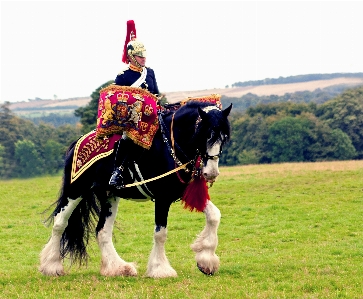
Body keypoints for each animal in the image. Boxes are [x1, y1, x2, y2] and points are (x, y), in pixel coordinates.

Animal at [39, 100, 232, 278]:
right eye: (205, 135)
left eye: (224, 137)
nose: (211, 173)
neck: (170, 146)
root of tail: (76, 143)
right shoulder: (162, 198)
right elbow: (160, 233)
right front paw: (160, 269)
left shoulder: (182, 193)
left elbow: (214, 216)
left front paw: (206, 260)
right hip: (76, 190)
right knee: (60, 223)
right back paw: (51, 266)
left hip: (109, 195)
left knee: (102, 231)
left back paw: (117, 268)